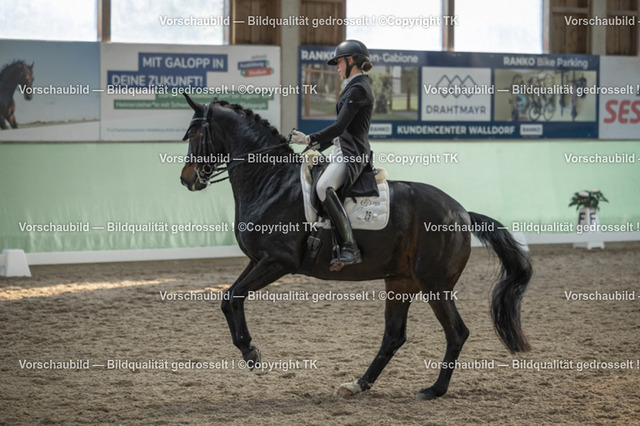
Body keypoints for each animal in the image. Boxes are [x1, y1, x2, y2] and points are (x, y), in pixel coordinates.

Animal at [179, 94, 532, 400]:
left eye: (195, 132)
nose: (186, 179)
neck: (271, 182)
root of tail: (461, 212)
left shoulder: (279, 261)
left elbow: (233, 296)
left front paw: (251, 352)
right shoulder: (258, 260)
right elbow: (228, 298)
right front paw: (248, 351)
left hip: (435, 284)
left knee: (456, 332)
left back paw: (434, 390)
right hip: (401, 282)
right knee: (394, 336)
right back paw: (358, 384)